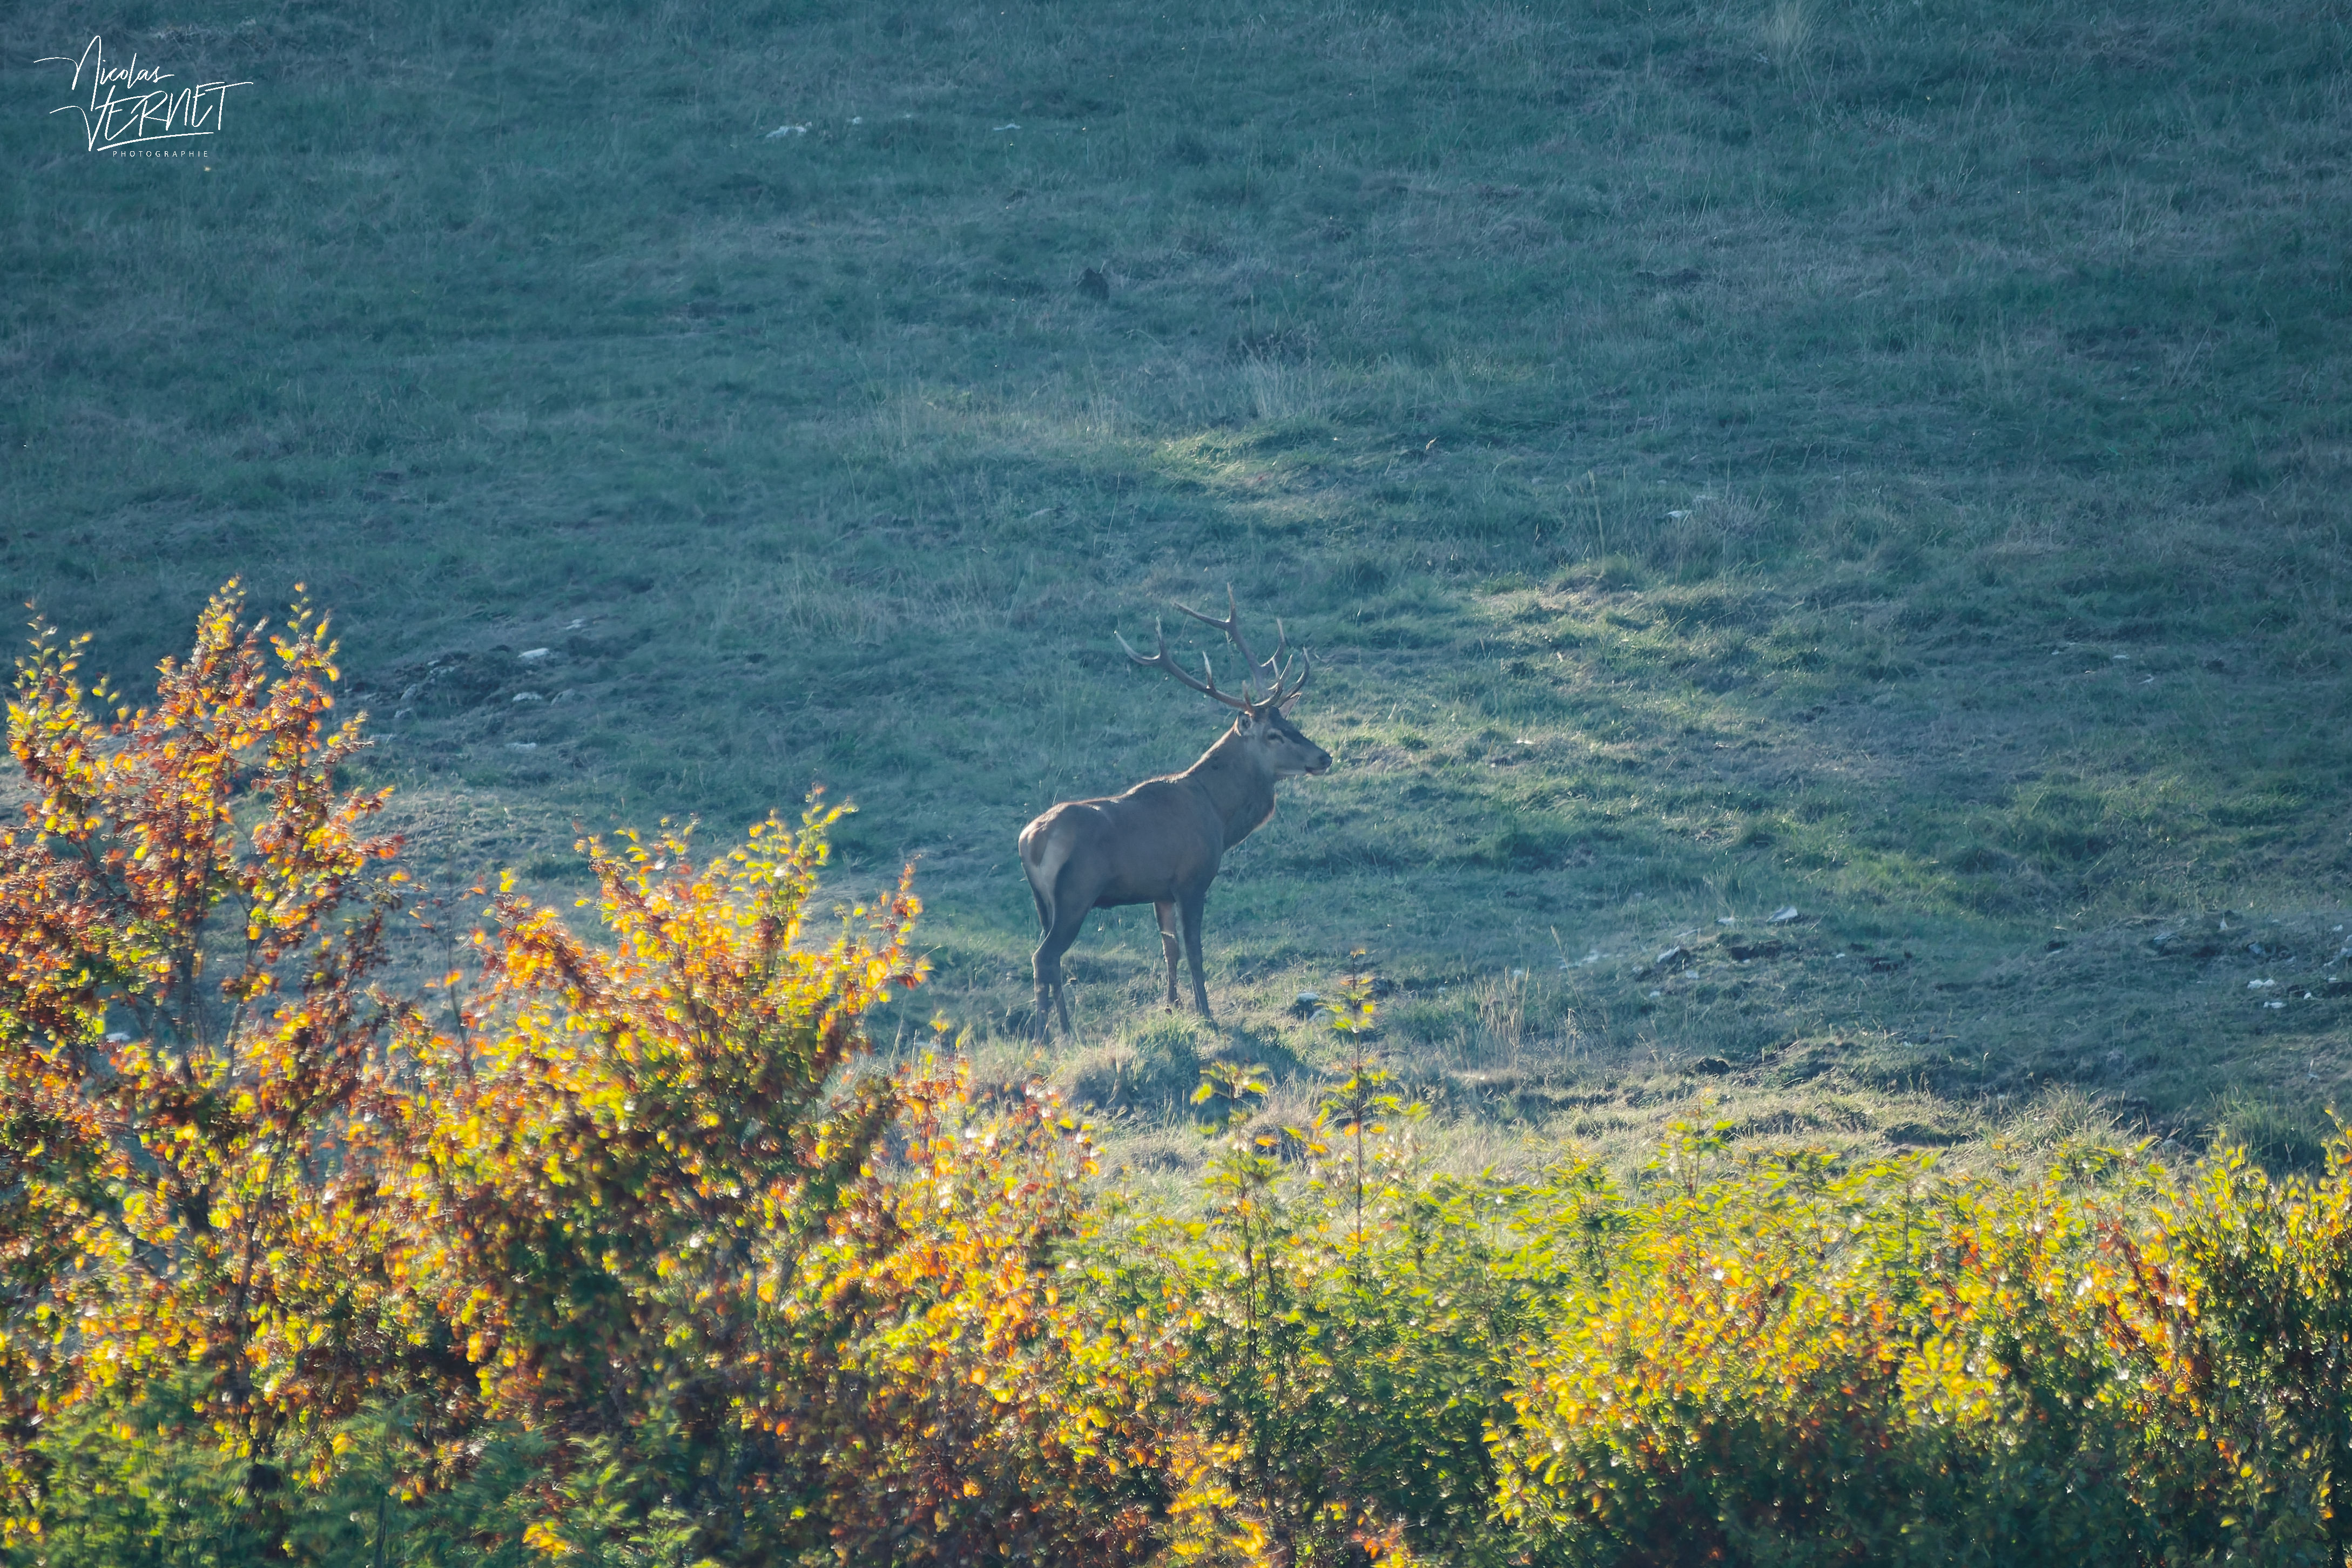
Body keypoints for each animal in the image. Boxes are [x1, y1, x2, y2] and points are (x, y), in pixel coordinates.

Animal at [1018, 591, 1331, 1041]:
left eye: (1292, 723)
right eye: (1274, 735)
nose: (1324, 757)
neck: (1219, 816)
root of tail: (1032, 839)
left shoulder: (1160, 891)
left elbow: (1169, 949)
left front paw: (1171, 1007)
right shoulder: (1192, 879)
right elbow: (1195, 951)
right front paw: (1206, 1014)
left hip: (1042, 901)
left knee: (1052, 959)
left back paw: (1065, 1029)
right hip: (1075, 893)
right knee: (1043, 957)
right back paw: (1046, 1035)